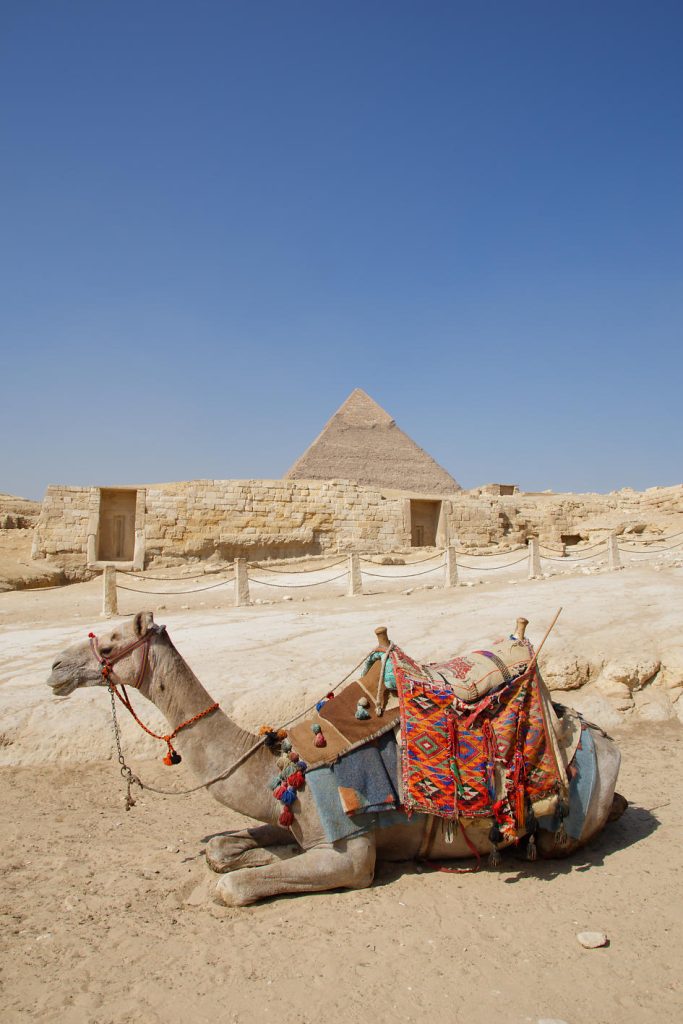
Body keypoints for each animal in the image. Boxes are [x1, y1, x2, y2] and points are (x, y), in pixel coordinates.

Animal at [46, 606, 626, 905]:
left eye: (107, 644)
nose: (55, 668)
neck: (281, 764)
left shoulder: (351, 854)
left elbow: (231, 887)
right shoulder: (297, 816)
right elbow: (224, 850)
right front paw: (253, 852)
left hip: (563, 824)